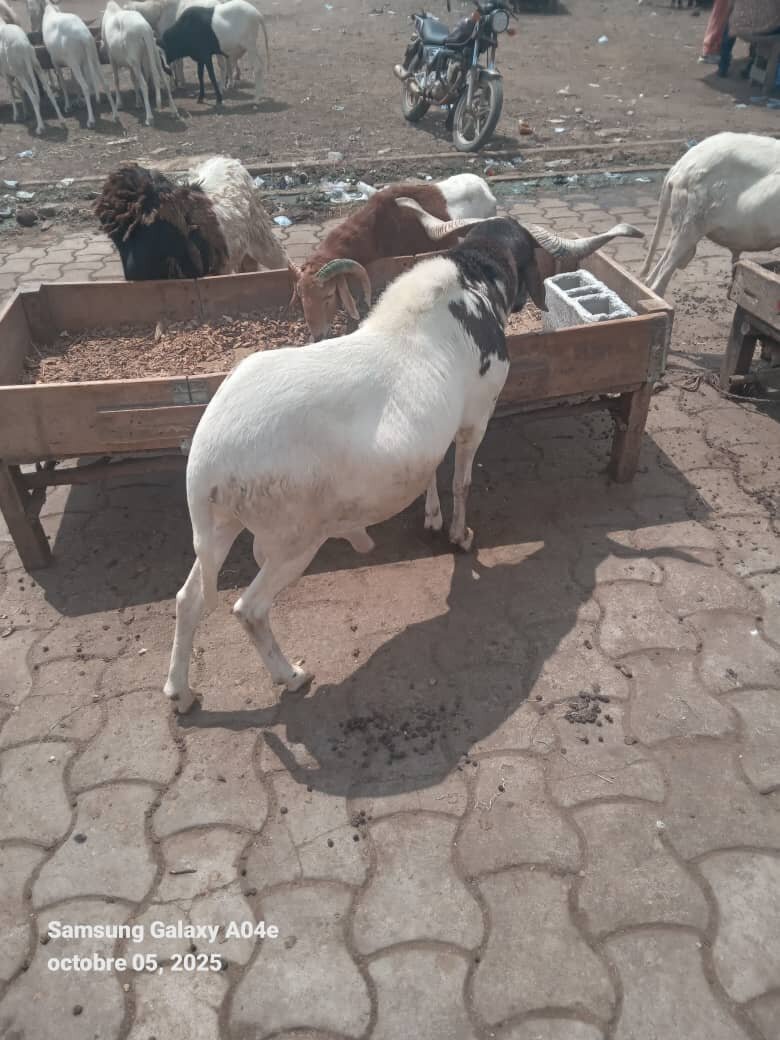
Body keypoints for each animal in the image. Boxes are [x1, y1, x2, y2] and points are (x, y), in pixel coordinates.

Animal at [95, 155, 287, 279]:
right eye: (116, 239)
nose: (132, 273)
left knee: (282, 260)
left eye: (154, 226)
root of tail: (228, 159)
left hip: (261, 234)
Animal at [162, 213, 642, 712]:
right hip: (294, 538)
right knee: (249, 609)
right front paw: (460, 536)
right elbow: (462, 481)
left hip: (220, 524)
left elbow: (430, 469)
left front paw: (431, 517)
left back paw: (181, 691)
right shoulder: (477, 414)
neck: (470, 283)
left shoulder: (432, 430)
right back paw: (291, 675)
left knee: (188, 598)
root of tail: (207, 462)